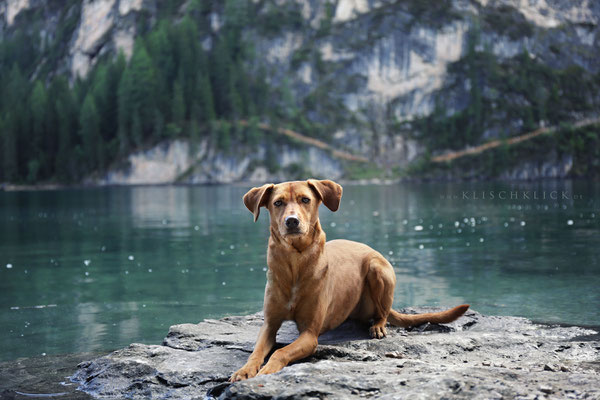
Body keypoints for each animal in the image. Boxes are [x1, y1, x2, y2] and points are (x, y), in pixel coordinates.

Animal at [230, 179, 468, 382]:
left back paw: (378, 326)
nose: (292, 221)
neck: (295, 263)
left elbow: (280, 351)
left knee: (383, 312)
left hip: (377, 269)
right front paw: (244, 370)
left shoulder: (310, 334)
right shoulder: (269, 324)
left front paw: (267, 369)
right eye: (278, 203)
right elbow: (256, 351)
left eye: (305, 200)